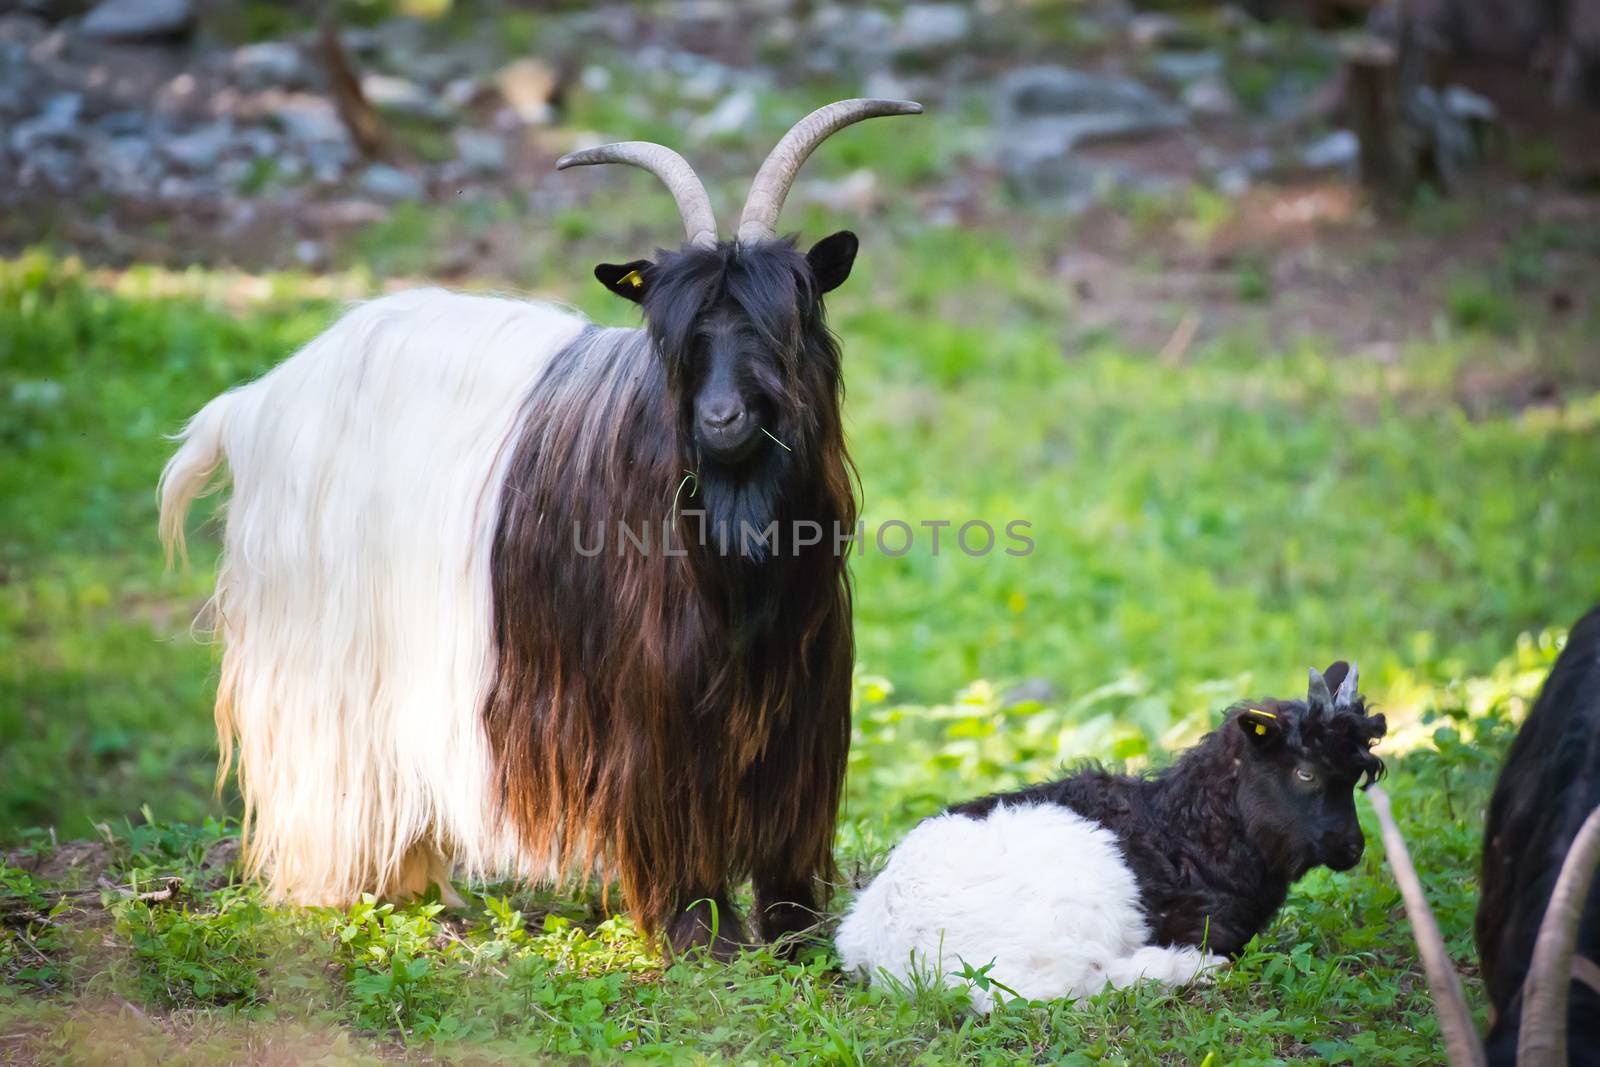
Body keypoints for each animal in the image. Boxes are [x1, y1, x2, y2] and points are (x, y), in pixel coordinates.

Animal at [159, 99, 928, 953]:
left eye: (783, 325)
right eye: (679, 337)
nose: (721, 418)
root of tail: (256, 401)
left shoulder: (805, 681)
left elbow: (789, 817)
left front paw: (797, 935)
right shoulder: (655, 688)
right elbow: (672, 798)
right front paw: (701, 930)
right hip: (319, 647)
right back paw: (337, 892)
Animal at [838, 662, 1388, 1004]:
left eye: (1357, 778)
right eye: (1305, 773)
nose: (1352, 848)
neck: (1184, 832)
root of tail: (904, 962)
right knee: (1088, 979)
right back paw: (1193, 970)